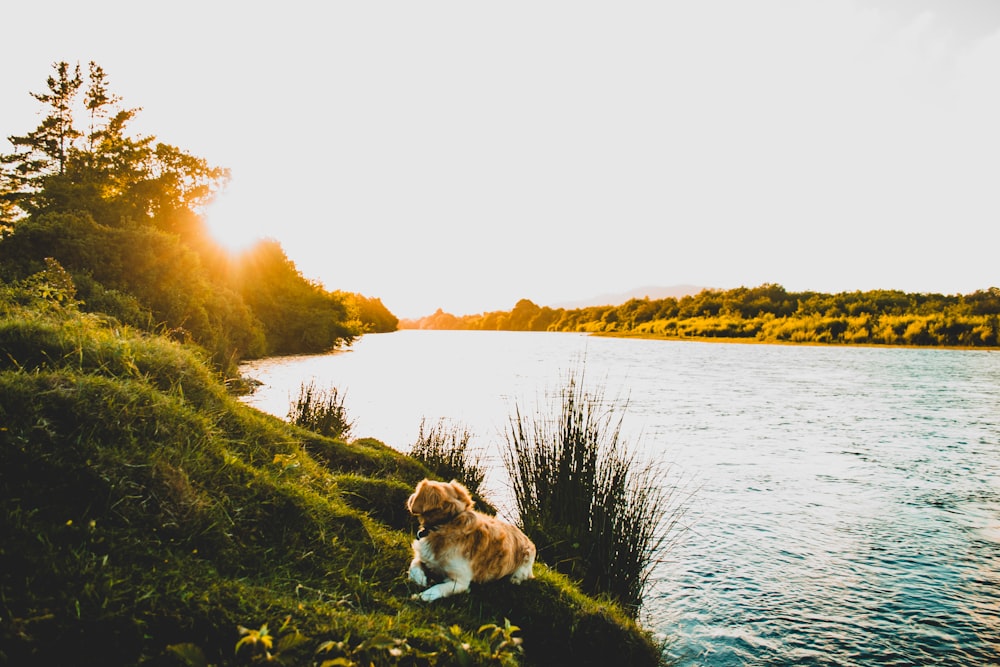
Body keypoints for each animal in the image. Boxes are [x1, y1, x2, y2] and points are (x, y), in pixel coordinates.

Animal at [406, 478, 536, 604]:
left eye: (416, 491)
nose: (410, 496)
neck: (446, 523)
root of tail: (527, 538)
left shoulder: (460, 582)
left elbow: (438, 588)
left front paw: (421, 596)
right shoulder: (423, 557)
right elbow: (414, 565)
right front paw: (421, 580)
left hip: (523, 566)